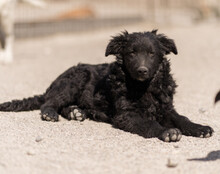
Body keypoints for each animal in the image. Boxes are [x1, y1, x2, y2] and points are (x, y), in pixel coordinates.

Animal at [0, 29, 213, 141]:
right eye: (131, 53)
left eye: (152, 54)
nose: (142, 71)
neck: (143, 88)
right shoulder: (126, 115)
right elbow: (149, 123)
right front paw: (166, 131)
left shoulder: (166, 108)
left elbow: (182, 118)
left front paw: (199, 128)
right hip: (76, 79)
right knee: (49, 102)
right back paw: (51, 113)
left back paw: (76, 112)